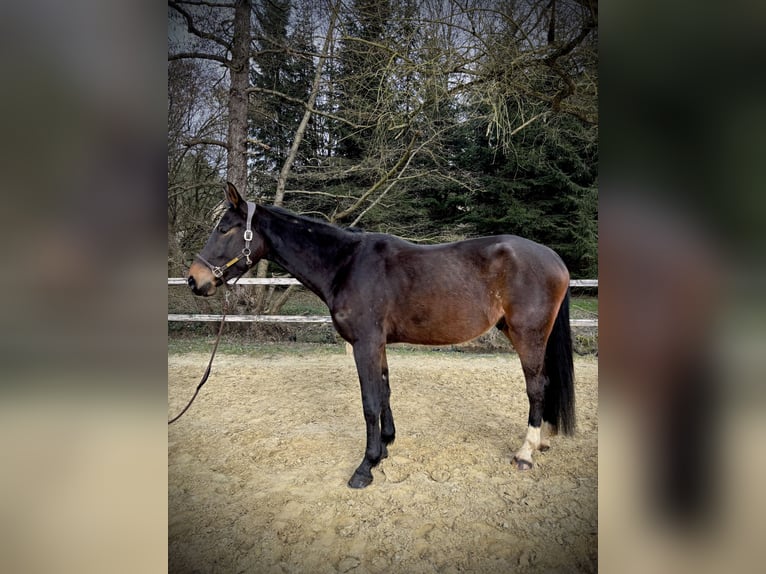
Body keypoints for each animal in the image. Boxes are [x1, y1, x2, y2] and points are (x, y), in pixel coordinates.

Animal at [188, 183, 576, 490]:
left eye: (224, 228)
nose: (194, 280)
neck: (346, 264)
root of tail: (554, 257)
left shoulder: (364, 344)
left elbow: (369, 401)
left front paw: (366, 465)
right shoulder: (379, 345)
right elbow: (385, 391)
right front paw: (387, 445)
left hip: (527, 335)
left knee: (536, 387)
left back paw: (526, 452)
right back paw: (540, 442)